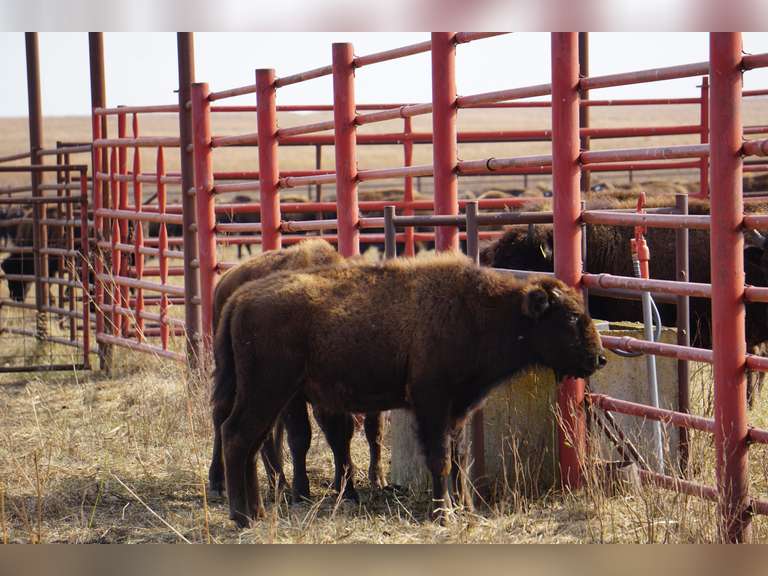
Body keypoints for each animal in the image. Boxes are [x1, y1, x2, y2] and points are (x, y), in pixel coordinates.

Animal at [214, 253, 606, 526]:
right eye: (571, 317)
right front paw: (442, 514)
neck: (479, 309)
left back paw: (257, 512)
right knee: (237, 435)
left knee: (250, 442)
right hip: (268, 391)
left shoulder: (457, 409)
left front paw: (464, 507)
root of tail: (239, 298)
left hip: (270, 396)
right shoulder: (431, 402)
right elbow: (440, 459)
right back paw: (242, 516)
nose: (599, 358)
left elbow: (459, 458)